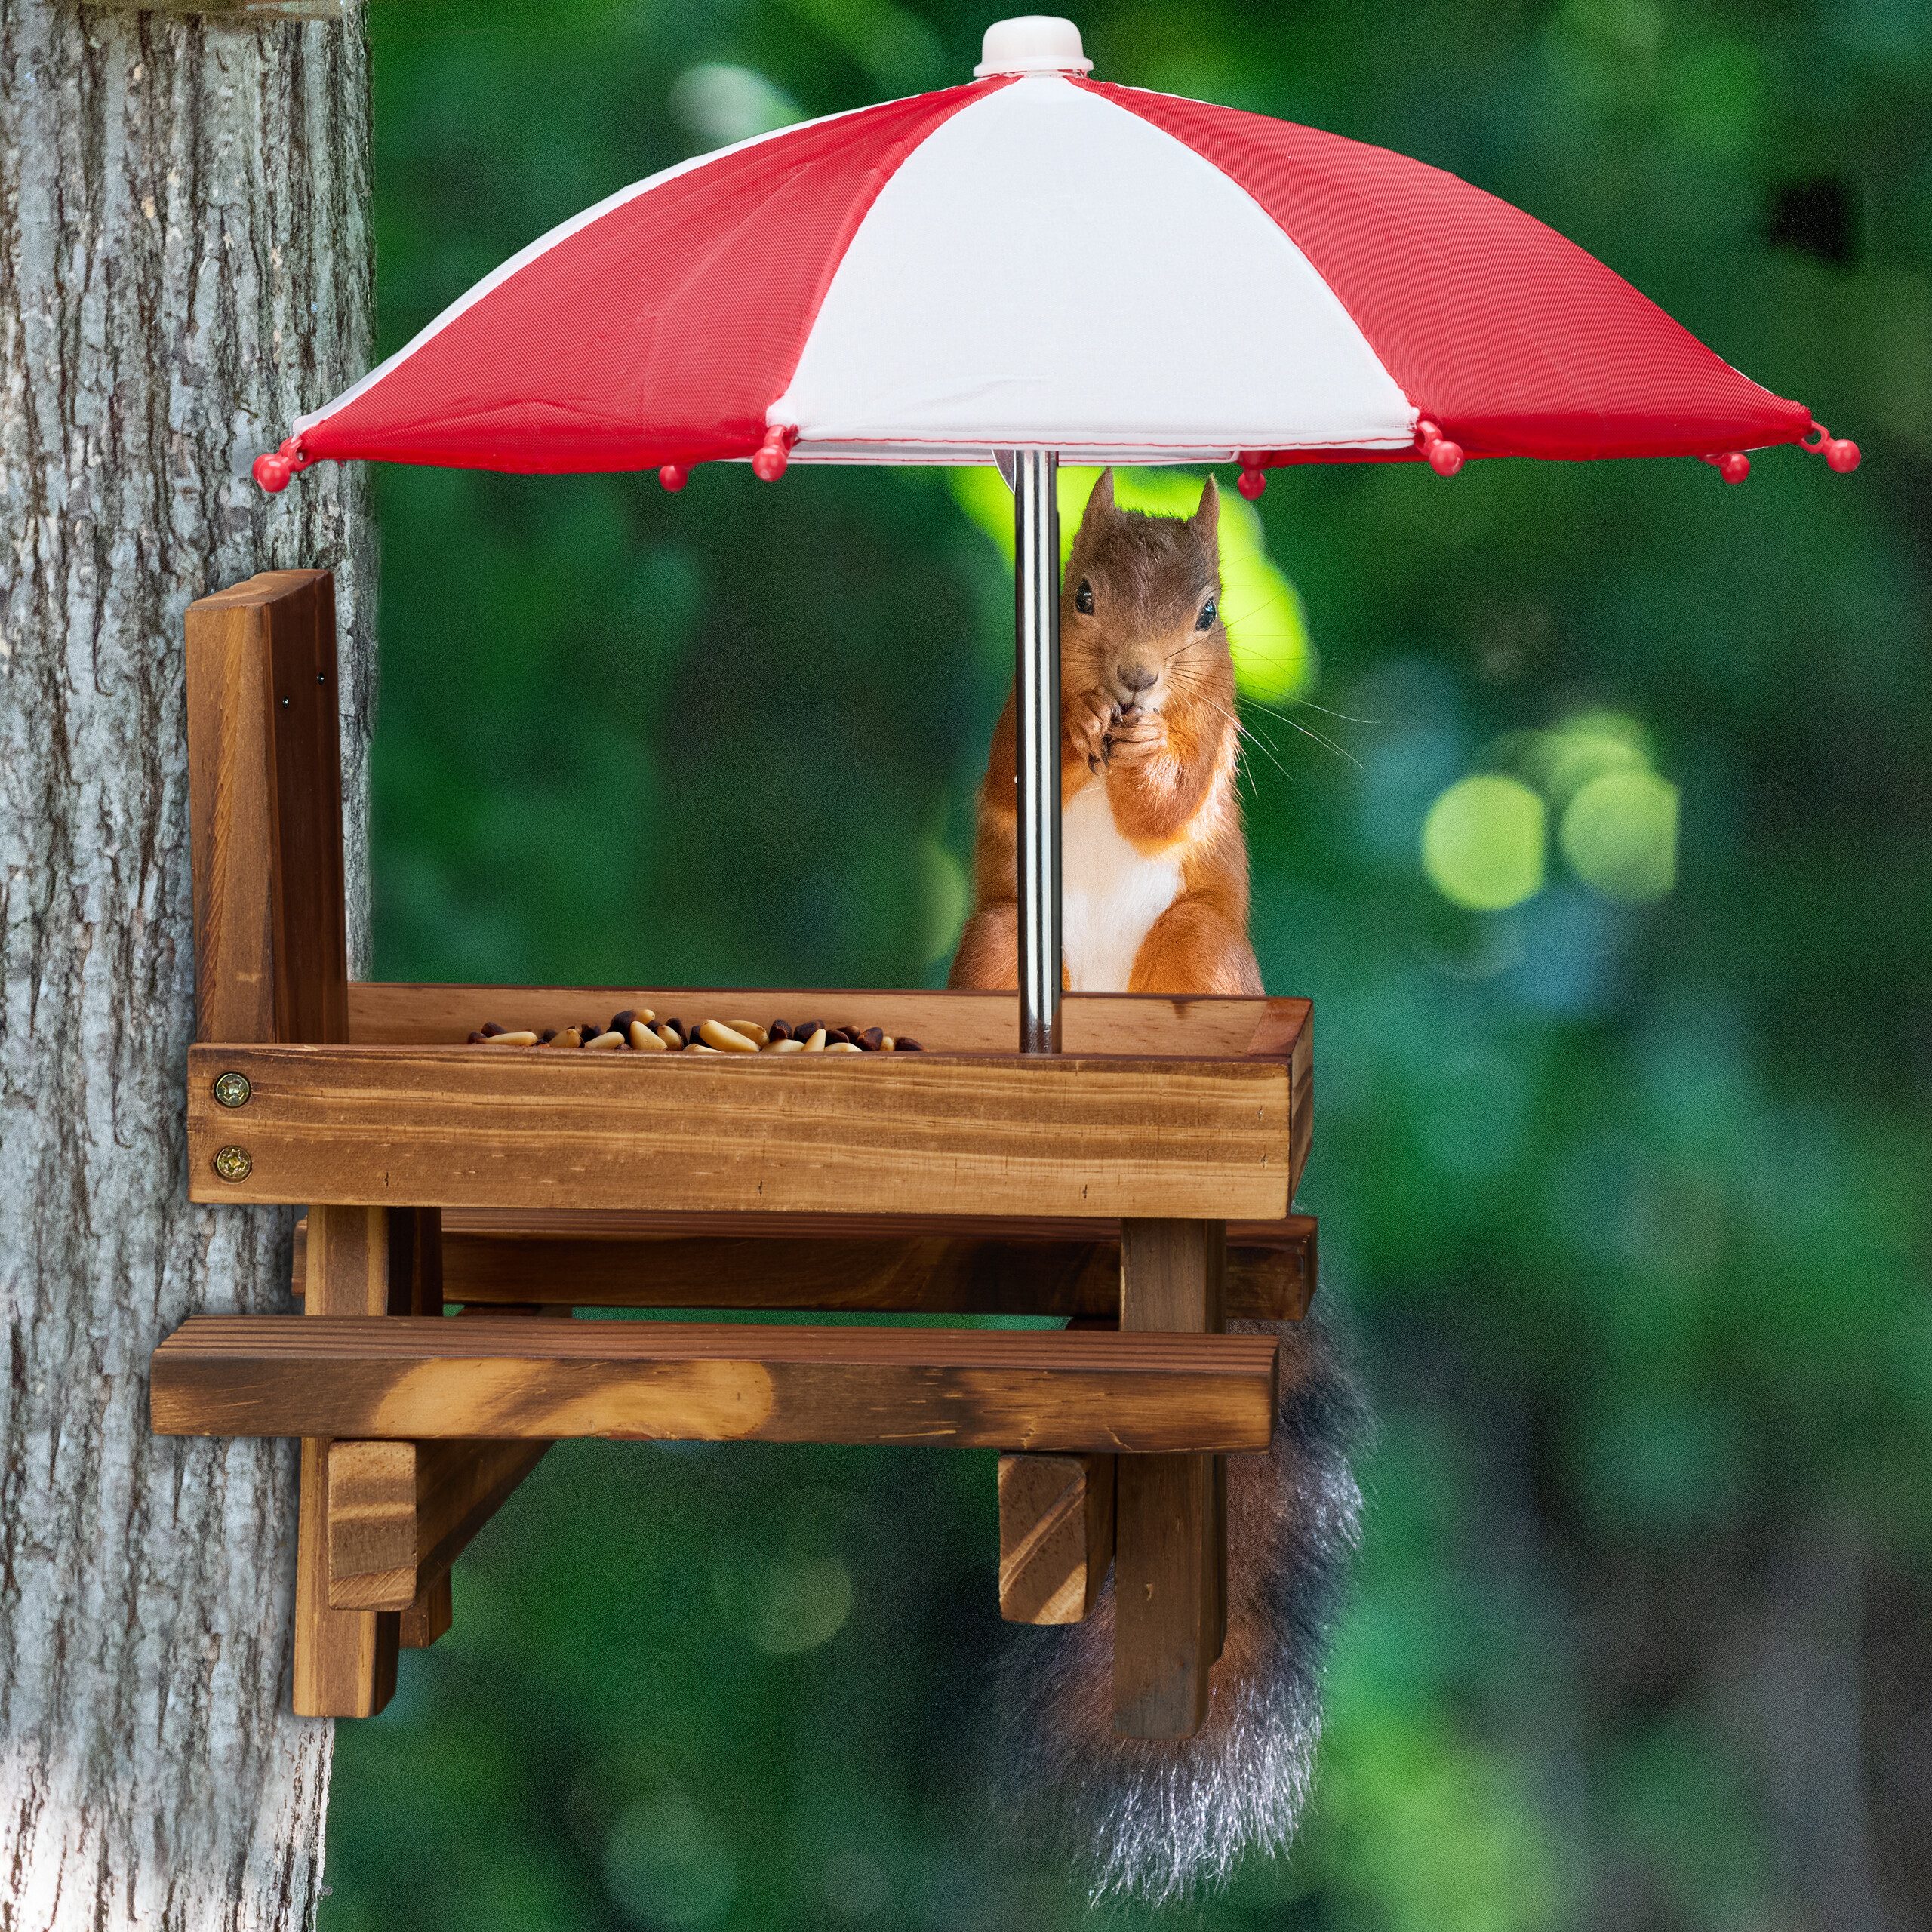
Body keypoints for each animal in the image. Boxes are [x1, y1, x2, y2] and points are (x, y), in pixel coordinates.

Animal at [953, 470, 1368, 1903]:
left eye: (1206, 613)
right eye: (1075, 594)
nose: (1130, 683)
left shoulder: (1217, 740)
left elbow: (1175, 797)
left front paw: (1134, 762)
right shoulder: (1008, 729)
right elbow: (1013, 777)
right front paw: (1079, 731)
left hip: (1201, 953)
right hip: (995, 951)